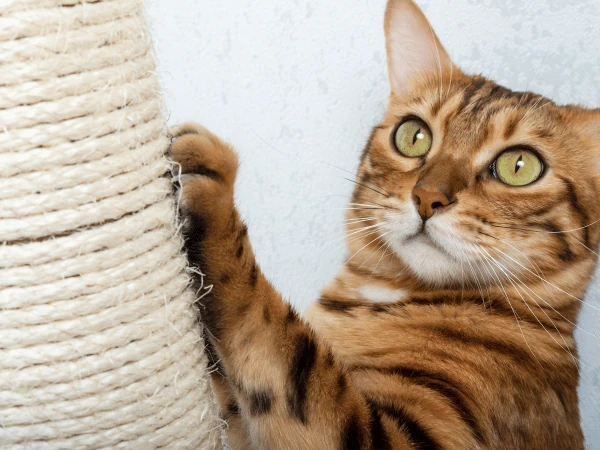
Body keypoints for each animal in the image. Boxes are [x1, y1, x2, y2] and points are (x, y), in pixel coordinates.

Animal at [169, 0, 600, 448]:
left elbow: (278, 338)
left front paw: (213, 185)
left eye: (520, 165)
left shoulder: (410, 436)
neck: (381, 295)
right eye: (413, 136)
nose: (428, 198)